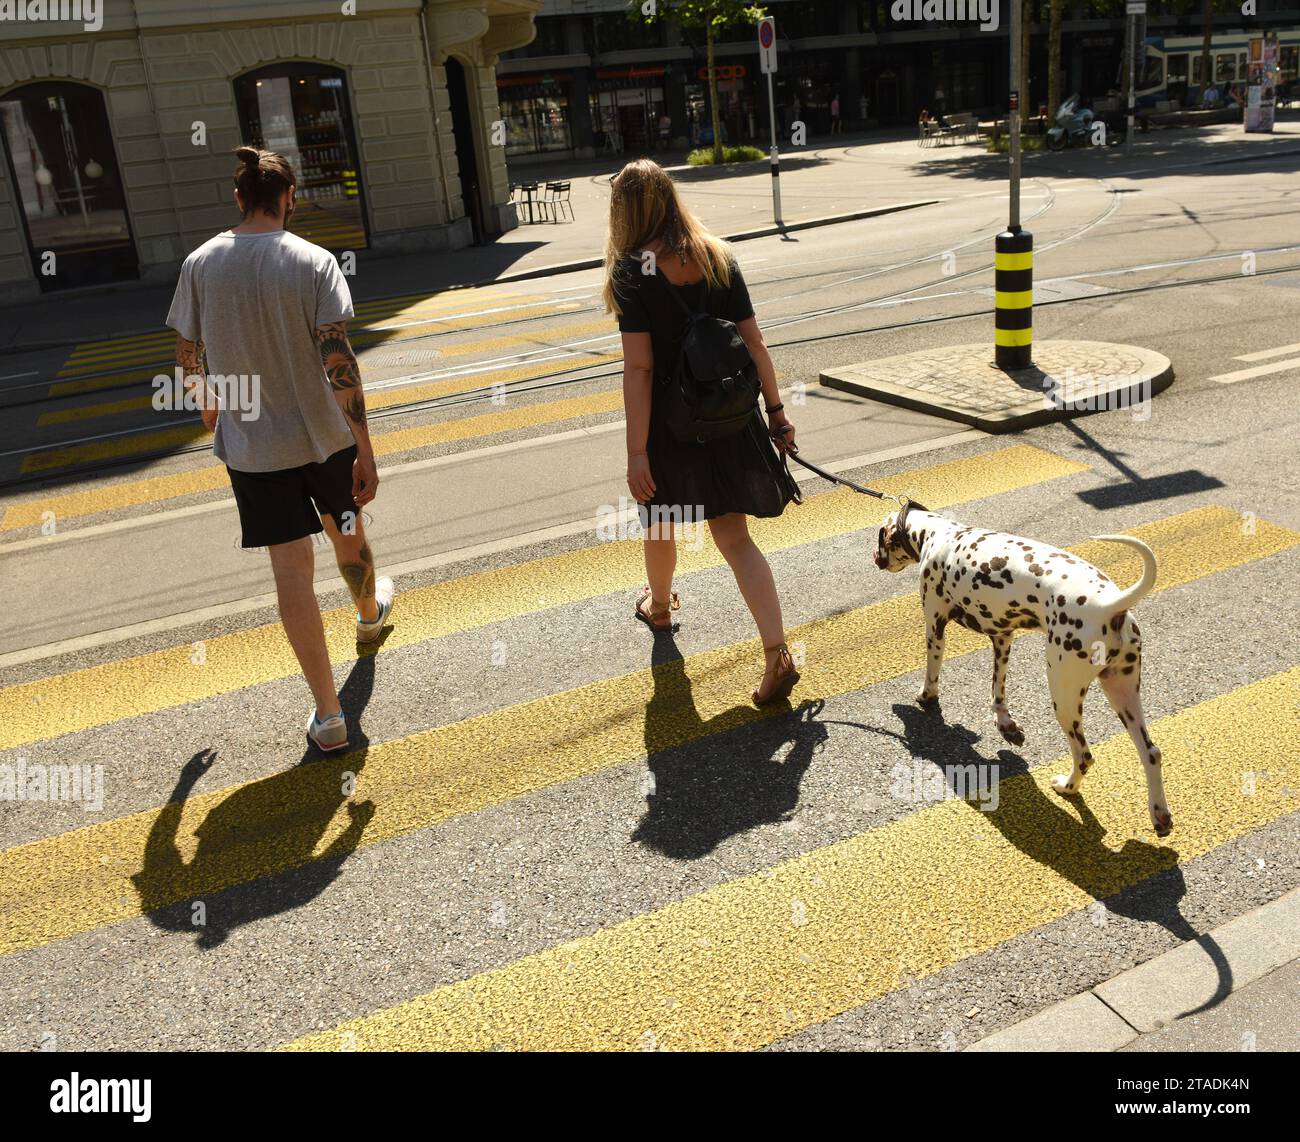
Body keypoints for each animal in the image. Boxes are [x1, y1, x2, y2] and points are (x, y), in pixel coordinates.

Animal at [873, 504, 1170, 837]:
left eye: (880, 539)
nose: (874, 558)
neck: (938, 534)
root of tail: (1111, 605)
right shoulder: (1002, 639)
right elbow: (998, 690)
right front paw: (1005, 724)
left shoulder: (935, 627)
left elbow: (931, 672)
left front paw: (926, 696)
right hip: (1123, 695)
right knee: (1151, 753)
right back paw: (1159, 815)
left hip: (1064, 697)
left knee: (1084, 755)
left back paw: (1067, 787)